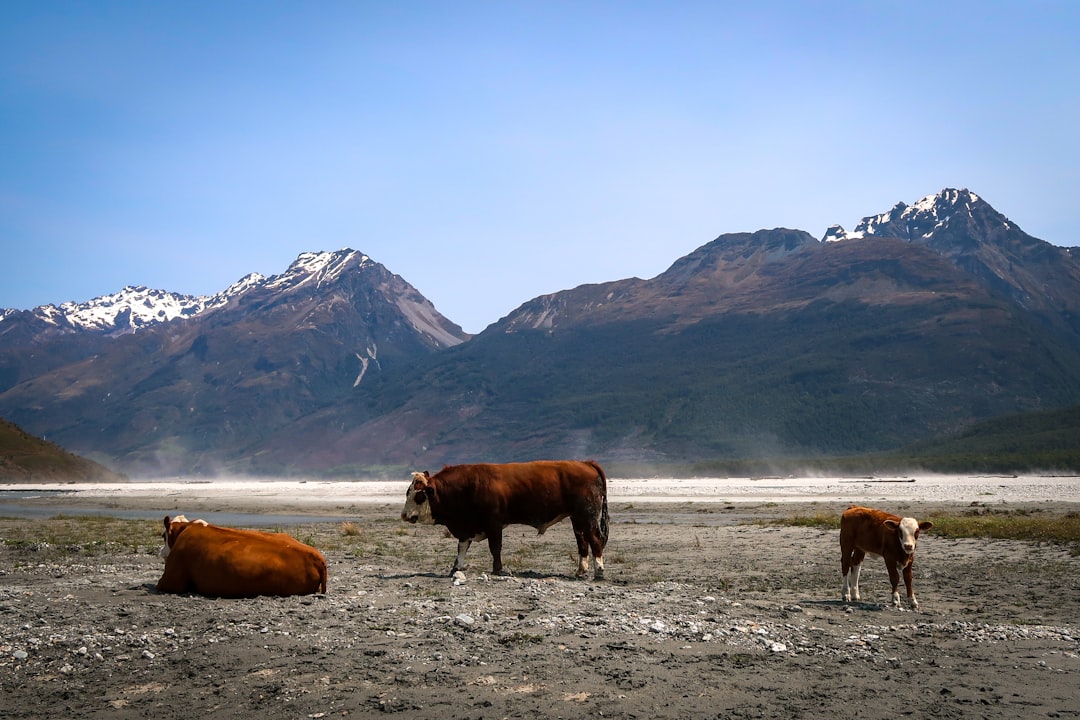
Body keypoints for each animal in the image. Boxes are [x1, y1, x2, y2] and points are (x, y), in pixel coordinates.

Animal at [401, 462, 613, 578]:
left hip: (587, 517)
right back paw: (581, 571)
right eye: (407, 492)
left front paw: (499, 569)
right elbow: (462, 548)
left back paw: (599, 572)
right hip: (577, 520)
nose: (404, 515)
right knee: (582, 543)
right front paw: (456, 568)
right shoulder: (467, 526)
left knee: (595, 541)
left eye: (419, 495)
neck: (468, 485)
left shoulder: (494, 524)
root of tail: (586, 463)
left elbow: (495, 548)